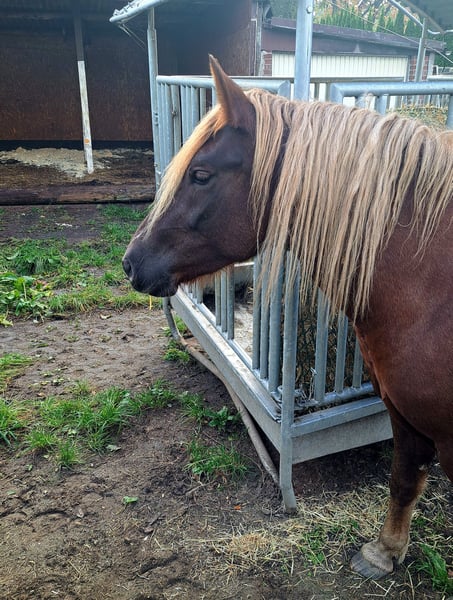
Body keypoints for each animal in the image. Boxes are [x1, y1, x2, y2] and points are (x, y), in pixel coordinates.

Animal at [123, 56, 453, 579]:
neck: (428, 280)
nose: (131, 262)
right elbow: (404, 477)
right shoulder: (405, 412)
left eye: (200, 174)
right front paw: (384, 552)